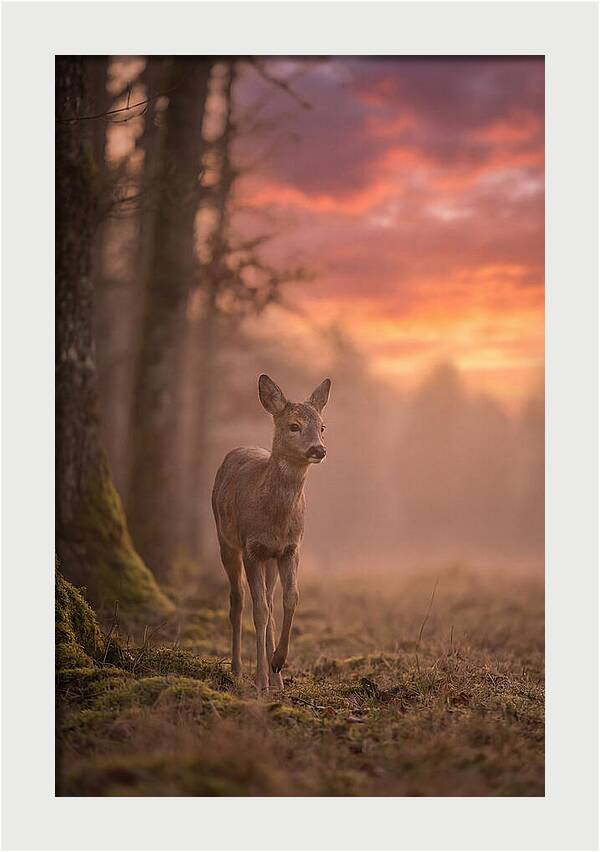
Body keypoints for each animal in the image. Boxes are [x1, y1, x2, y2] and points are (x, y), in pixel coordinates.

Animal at [212, 374, 331, 692]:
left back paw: (276, 679)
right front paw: (260, 680)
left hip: (270, 560)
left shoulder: (290, 548)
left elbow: (290, 599)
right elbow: (259, 611)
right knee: (238, 600)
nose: (318, 449)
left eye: (322, 426)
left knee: (268, 598)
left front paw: (278, 662)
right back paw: (239, 670)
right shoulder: (252, 547)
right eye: (294, 426)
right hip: (226, 540)